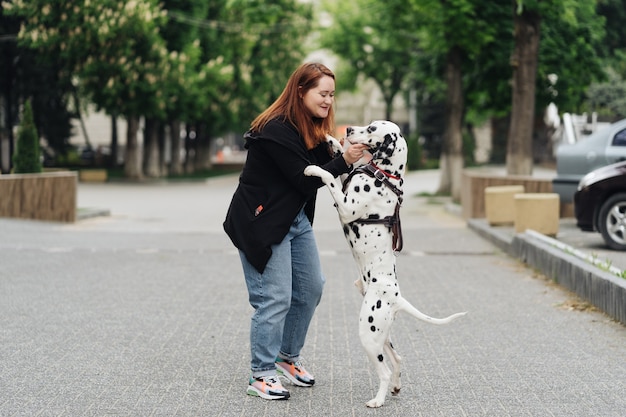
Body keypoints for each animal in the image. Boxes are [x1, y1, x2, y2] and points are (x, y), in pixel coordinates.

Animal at [302, 120, 464, 406]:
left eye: (371, 128)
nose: (348, 130)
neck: (384, 176)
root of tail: (396, 298)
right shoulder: (346, 187)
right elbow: (342, 168)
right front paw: (332, 141)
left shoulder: (345, 205)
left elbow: (330, 177)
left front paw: (314, 168)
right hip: (382, 335)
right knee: (398, 359)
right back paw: (396, 388)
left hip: (369, 333)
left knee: (385, 371)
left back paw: (378, 400)